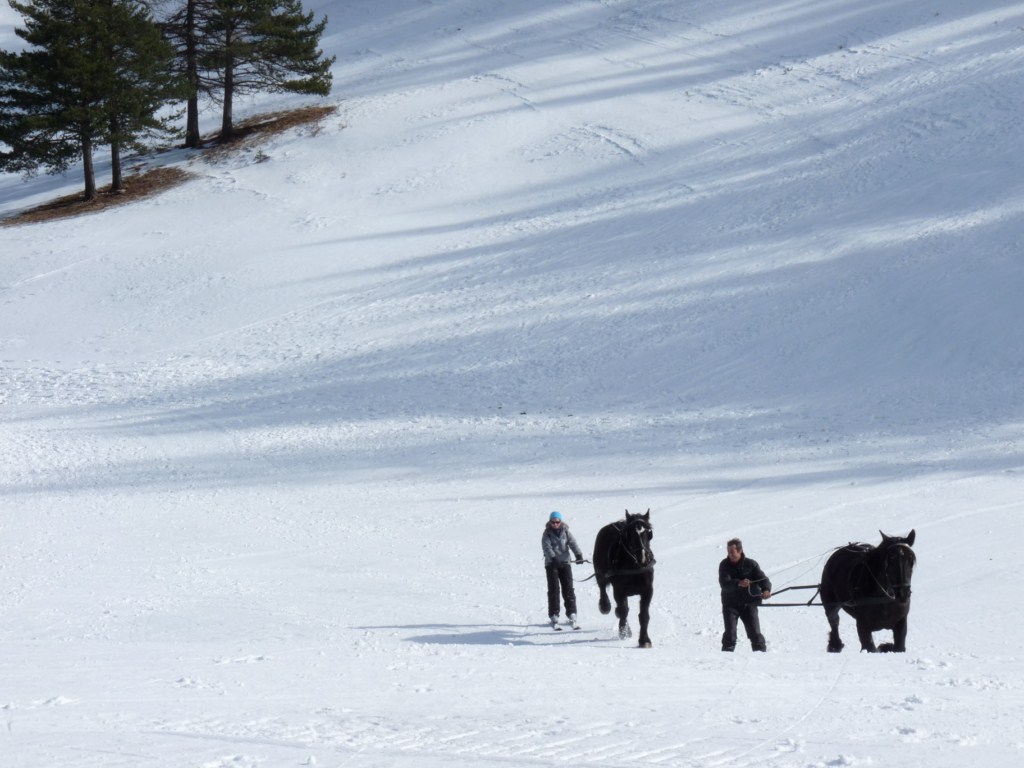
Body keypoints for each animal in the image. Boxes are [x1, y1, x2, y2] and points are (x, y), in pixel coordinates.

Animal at [593, 512, 655, 651]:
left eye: (649, 532)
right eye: (630, 533)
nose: (642, 557)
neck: (635, 566)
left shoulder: (647, 590)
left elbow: (644, 615)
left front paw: (644, 640)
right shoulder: (619, 590)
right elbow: (623, 610)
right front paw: (624, 631)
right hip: (600, 573)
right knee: (602, 587)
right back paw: (605, 606)